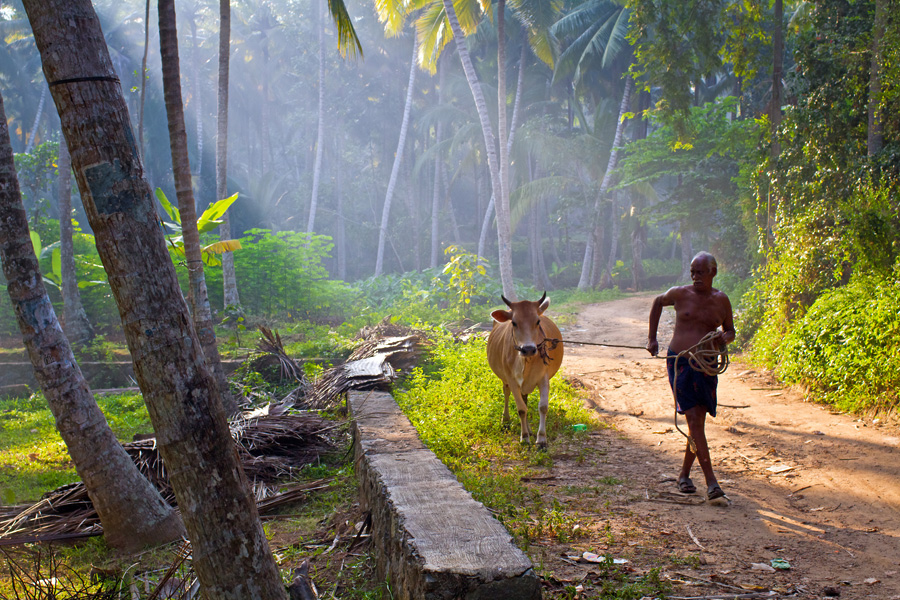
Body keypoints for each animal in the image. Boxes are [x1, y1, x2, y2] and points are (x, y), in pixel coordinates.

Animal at [488, 292, 568, 448]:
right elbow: (521, 409)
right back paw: (506, 420)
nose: (528, 349)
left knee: (525, 399)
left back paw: (530, 430)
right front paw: (524, 437)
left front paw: (541, 438)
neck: (526, 361)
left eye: (537, 321)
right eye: (514, 322)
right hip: (505, 380)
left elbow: (542, 407)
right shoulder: (512, 380)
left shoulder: (543, 379)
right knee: (507, 393)